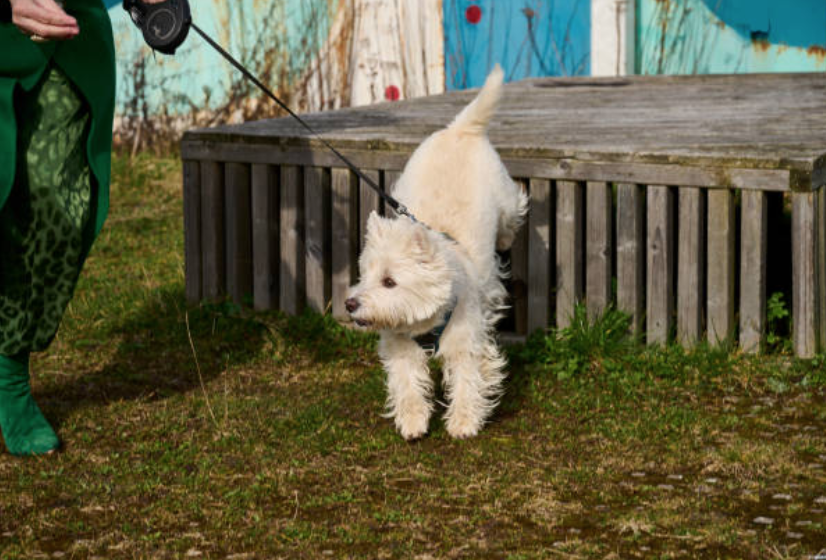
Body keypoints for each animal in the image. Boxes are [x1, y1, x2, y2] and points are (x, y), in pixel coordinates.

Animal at [342, 65, 524, 440]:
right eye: (364, 276)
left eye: (390, 281)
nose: (350, 303)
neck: (425, 323)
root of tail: (460, 129)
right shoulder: (399, 345)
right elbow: (407, 382)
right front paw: (413, 421)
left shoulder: (466, 342)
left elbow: (468, 380)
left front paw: (464, 423)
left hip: (505, 201)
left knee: (512, 215)